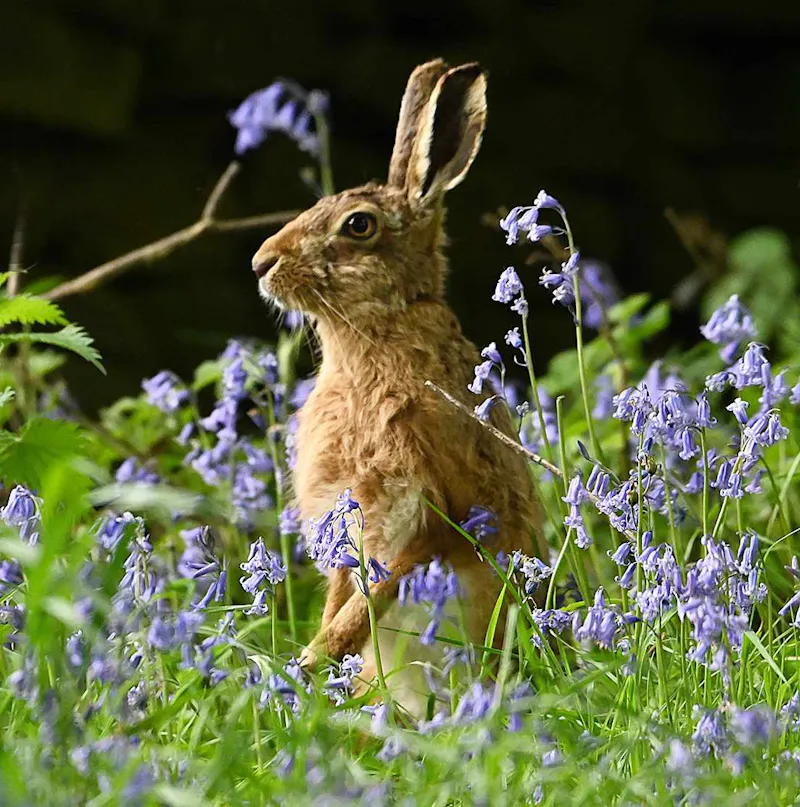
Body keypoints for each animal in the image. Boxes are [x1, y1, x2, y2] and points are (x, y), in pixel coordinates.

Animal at [252, 59, 541, 713]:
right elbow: (344, 594)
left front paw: (313, 661)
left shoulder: (429, 510)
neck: (376, 335)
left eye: (358, 225)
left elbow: (375, 594)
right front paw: (313, 663)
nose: (261, 263)